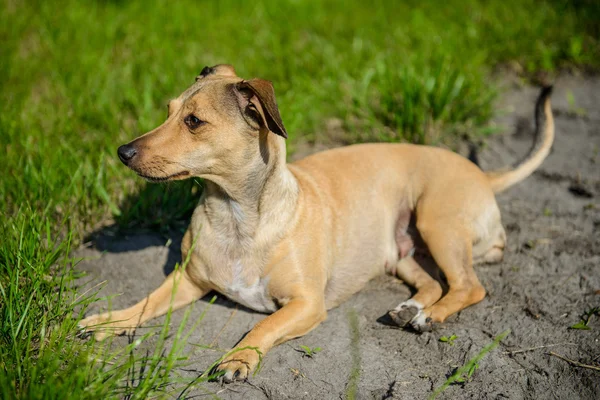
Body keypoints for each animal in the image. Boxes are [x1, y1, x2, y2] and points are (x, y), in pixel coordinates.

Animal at [79, 65, 552, 382]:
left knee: (469, 286)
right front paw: (107, 321)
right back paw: (411, 310)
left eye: (194, 121)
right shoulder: (186, 279)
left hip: (438, 223)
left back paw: (429, 318)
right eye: (170, 111)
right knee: (435, 283)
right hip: (403, 250)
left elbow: (263, 324)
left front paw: (237, 359)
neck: (236, 216)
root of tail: (484, 175)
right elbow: (144, 304)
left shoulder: (306, 304)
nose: (122, 152)